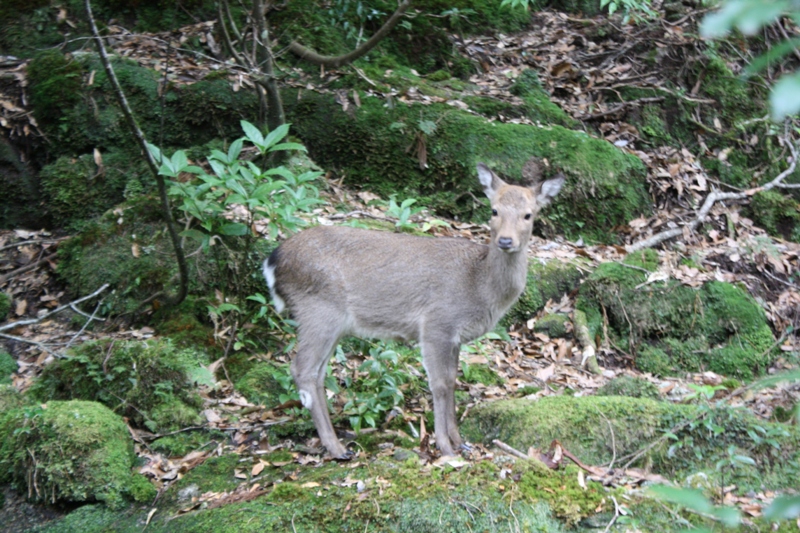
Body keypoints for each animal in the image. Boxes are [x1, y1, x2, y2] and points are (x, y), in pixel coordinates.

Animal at [262, 162, 564, 458]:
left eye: (528, 215)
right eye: (494, 210)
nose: (505, 241)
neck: (478, 285)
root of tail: (273, 261)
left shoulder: (455, 337)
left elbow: (452, 381)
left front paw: (460, 441)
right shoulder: (436, 323)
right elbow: (439, 384)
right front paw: (445, 447)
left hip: (331, 321)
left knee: (318, 373)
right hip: (318, 310)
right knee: (302, 369)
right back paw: (336, 448)